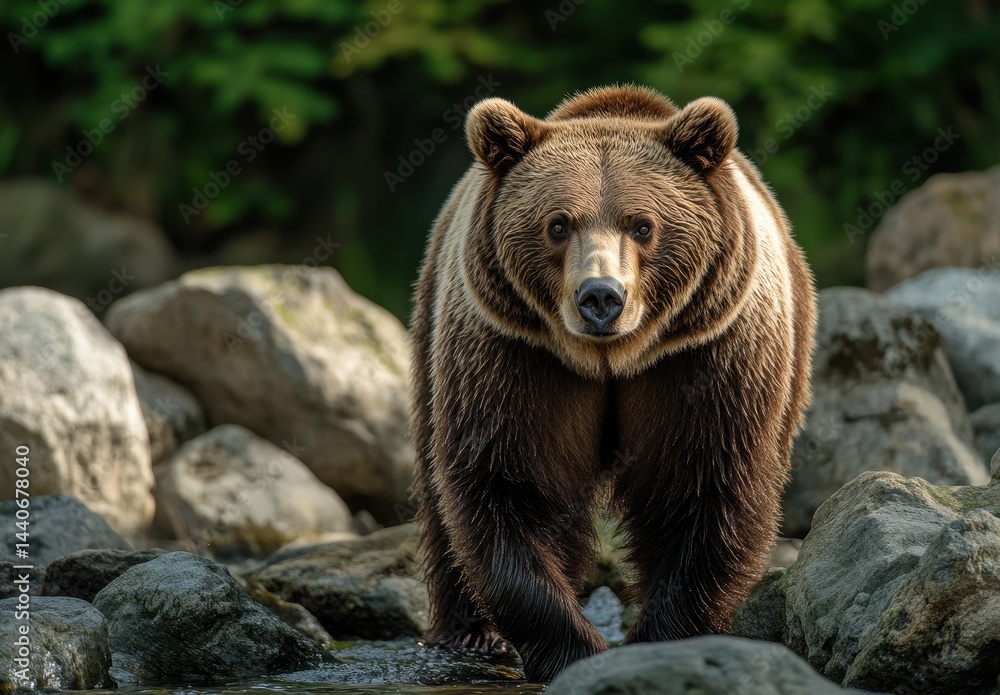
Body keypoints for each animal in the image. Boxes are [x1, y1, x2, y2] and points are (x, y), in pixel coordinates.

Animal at [410, 84, 817, 682]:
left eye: (642, 224)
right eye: (558, 224)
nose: (601, 297)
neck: (612, 359)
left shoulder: (703, 356)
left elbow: (705, 486)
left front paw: (658, 641)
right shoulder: (517, 354)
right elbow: (507, 480)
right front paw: (572, 648)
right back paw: (471, 633)